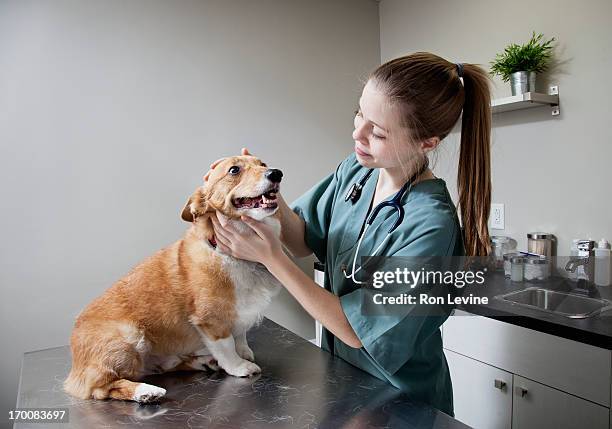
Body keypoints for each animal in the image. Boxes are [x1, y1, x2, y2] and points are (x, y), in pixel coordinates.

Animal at [63, 155, 284, 402]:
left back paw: (204, 362)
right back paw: (147, 392)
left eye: (262, 164)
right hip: (129, 338)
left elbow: (240, 334)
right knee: (103, 388)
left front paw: (244, 351)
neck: (235, 256)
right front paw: (240, 366)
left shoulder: (239, 312)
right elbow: (227, 347)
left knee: (164, 366)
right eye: (234, 170)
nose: (276, 173)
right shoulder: (211, 320)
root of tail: (74, 370)